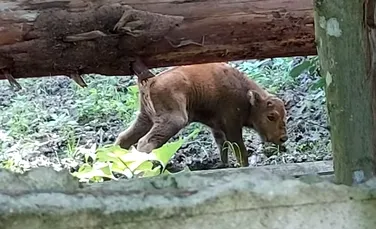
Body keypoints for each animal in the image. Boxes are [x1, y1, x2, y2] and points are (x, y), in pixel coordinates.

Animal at [114, 62, 288, 166]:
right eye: (271, 116)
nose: (283, 138)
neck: (246, 96)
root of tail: (152, 80)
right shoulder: (232, 127)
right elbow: (241, 152)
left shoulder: (217, 129)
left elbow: (223, 147)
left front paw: (224, 165)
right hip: (174, 121)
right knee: (144, 142)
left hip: (145, 118)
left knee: (124, 138)